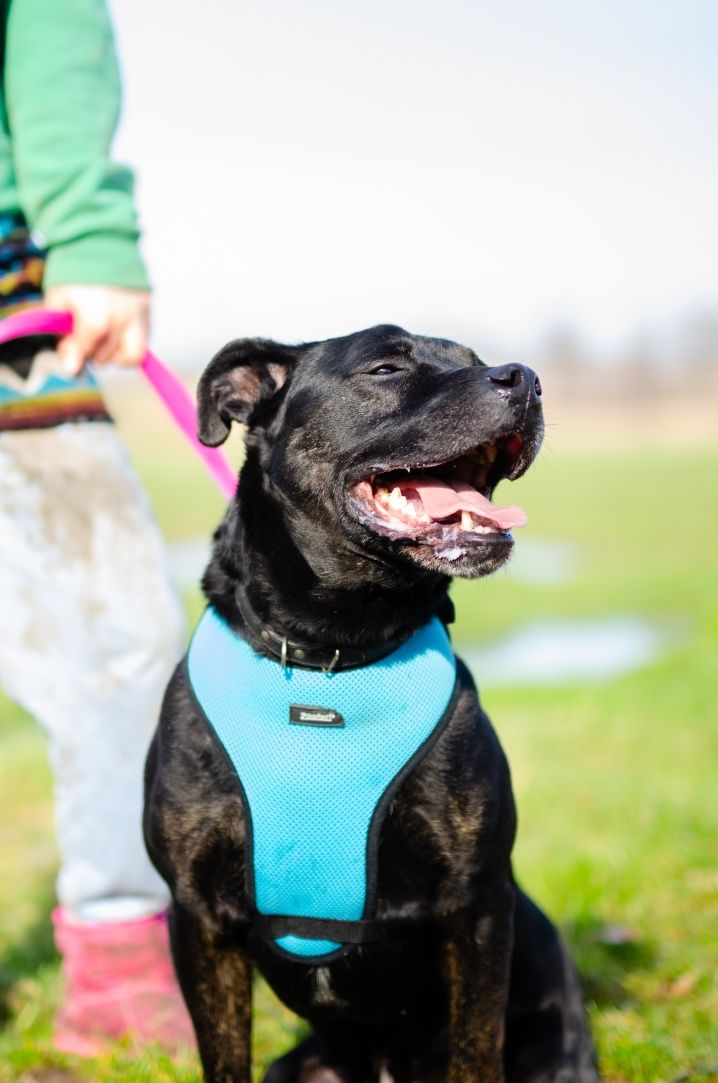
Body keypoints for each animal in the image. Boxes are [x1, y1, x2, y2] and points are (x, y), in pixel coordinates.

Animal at [142, 324, 597, 1083]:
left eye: (476, 362)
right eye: (386, 367)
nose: (525, 378)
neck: (331, 653)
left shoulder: (477, 904)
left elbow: (477, 1050)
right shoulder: (199, 917)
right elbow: (224, 1054)